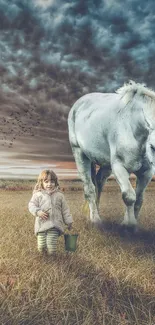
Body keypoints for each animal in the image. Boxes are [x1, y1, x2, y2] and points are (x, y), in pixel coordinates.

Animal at [68, 81, 155, 228]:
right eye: (153, 147)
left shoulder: (147, 172)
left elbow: (139, 199)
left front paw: (130, 222)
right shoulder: (119, 167)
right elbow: (129, 196)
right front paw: (129, 225)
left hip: (106, 164)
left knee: (99, 183)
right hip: (79, 154)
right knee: (90, 189)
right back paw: (95, 219)